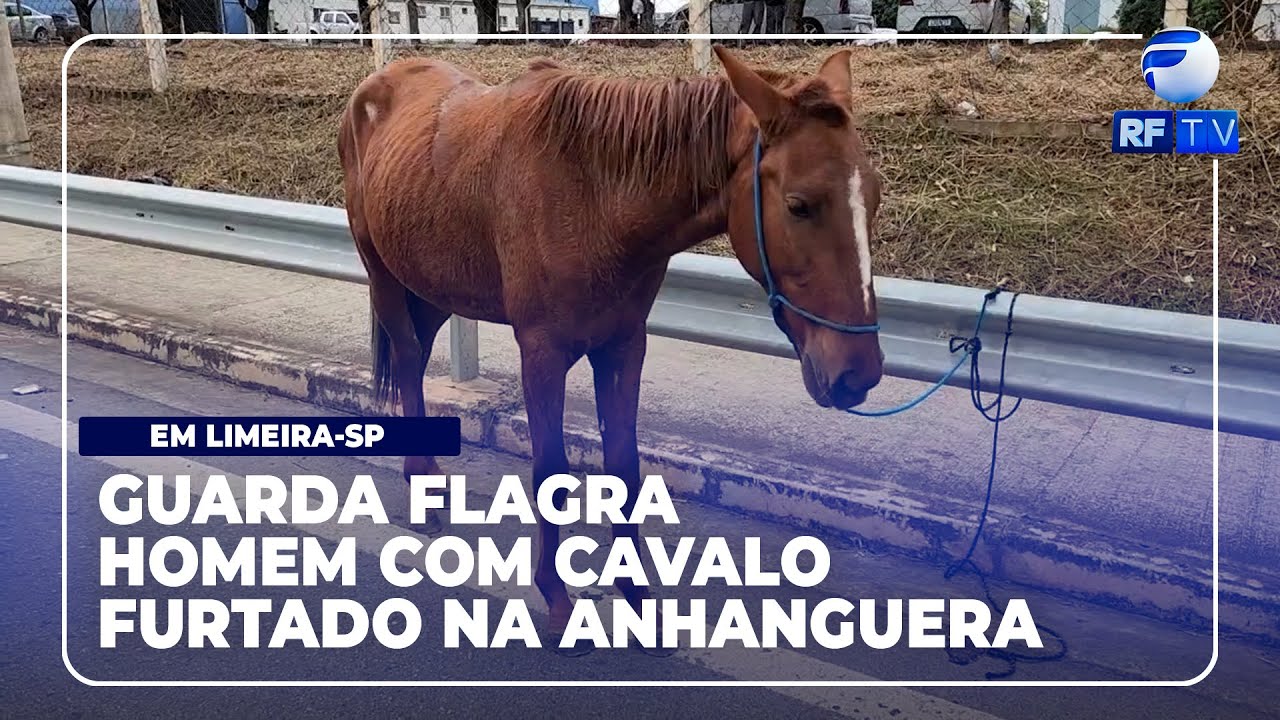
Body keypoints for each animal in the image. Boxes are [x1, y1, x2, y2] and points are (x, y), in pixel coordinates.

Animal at [338, 45, 884, 653]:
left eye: (874, 196)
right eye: (798, 204)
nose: (857, 372)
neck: (594, 197)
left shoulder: (624, 346)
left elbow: (624, 469)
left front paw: (637, 595)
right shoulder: (542, 353)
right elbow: (550, 471)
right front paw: (555, 598)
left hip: (431, 287)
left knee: (415, 355)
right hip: (383, 275)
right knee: (409, 357)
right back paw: (422, 485)